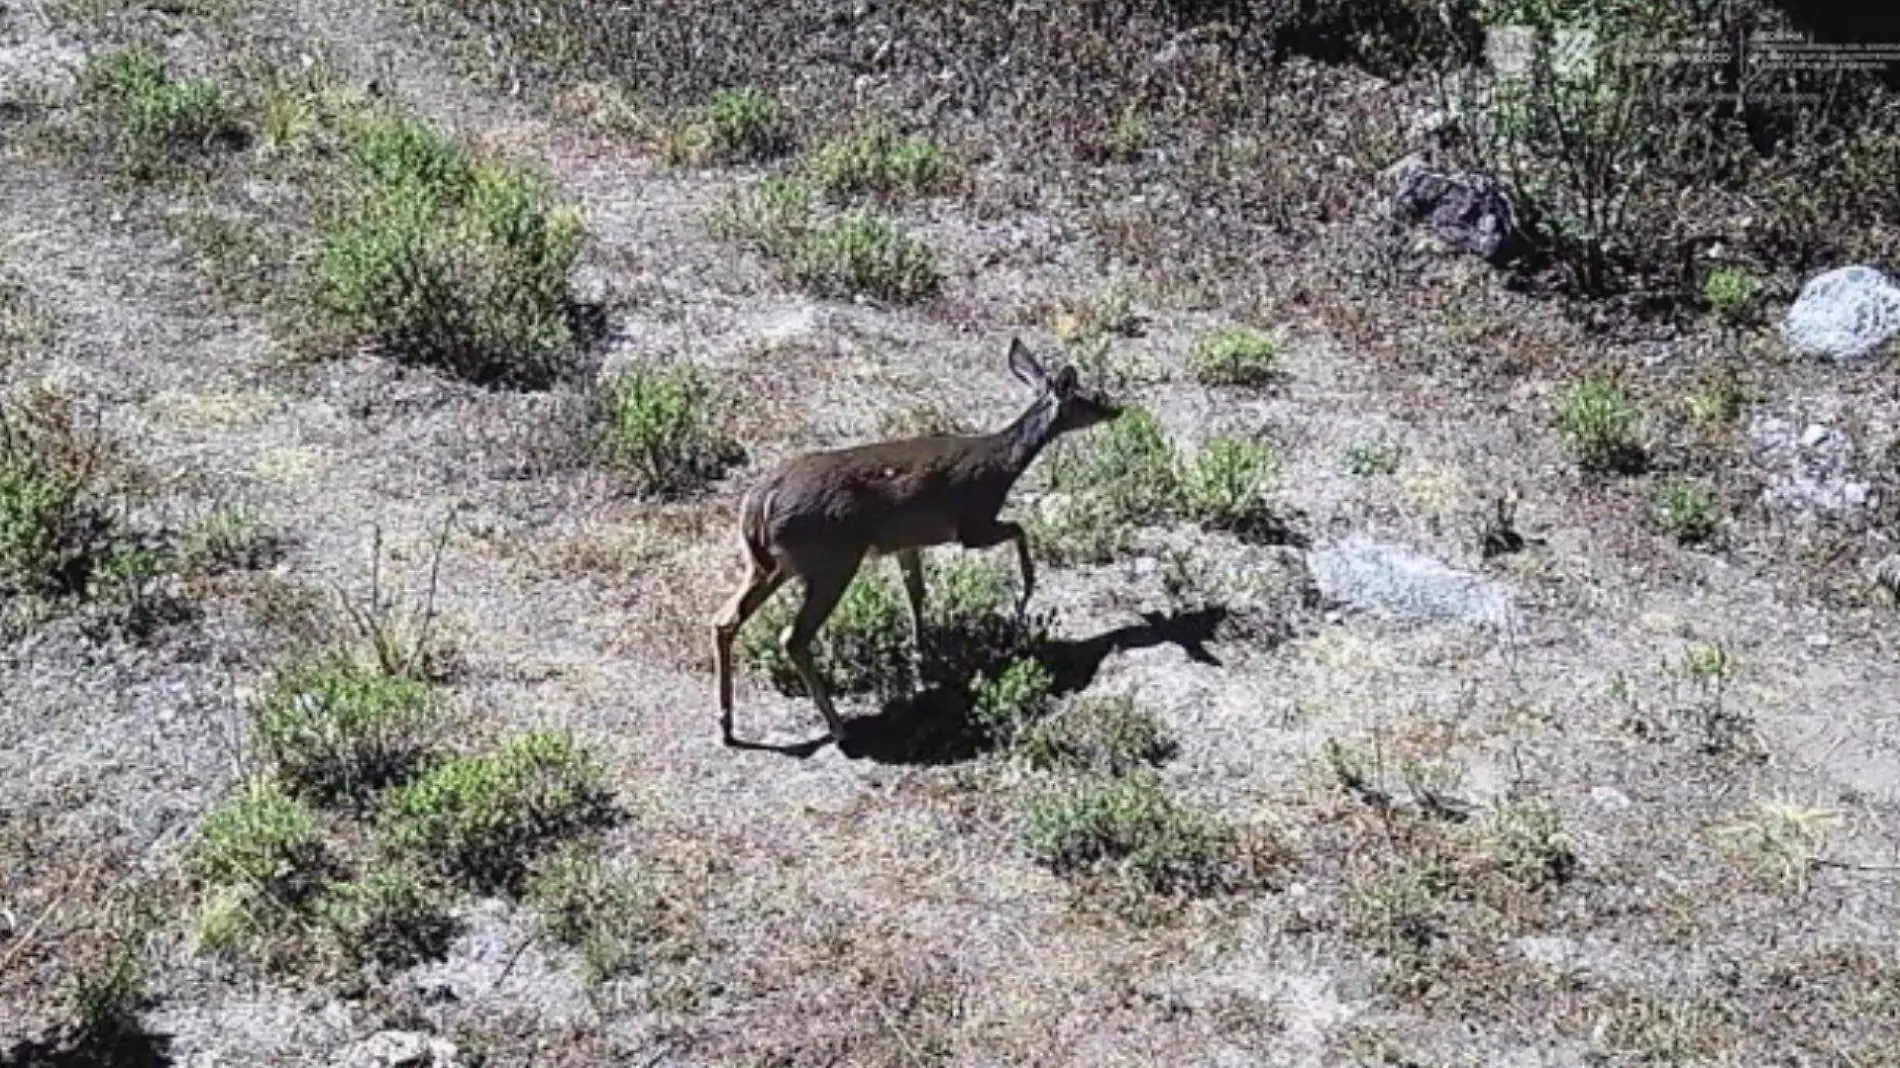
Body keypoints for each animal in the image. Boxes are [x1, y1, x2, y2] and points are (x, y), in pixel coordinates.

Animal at [714, 336, 1124, 744]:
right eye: (1090, 397)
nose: (1117, 409)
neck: (1004, 464)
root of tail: (759, 502)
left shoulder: (907, 541)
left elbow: (916, 591)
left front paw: (921, 655)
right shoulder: (973, 523)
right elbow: (1019, 528)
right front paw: (1025, 593)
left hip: (769, 564)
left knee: (724, 619)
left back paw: (727, 724)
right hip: (832, 558)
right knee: (792, 636)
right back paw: (837, 726)